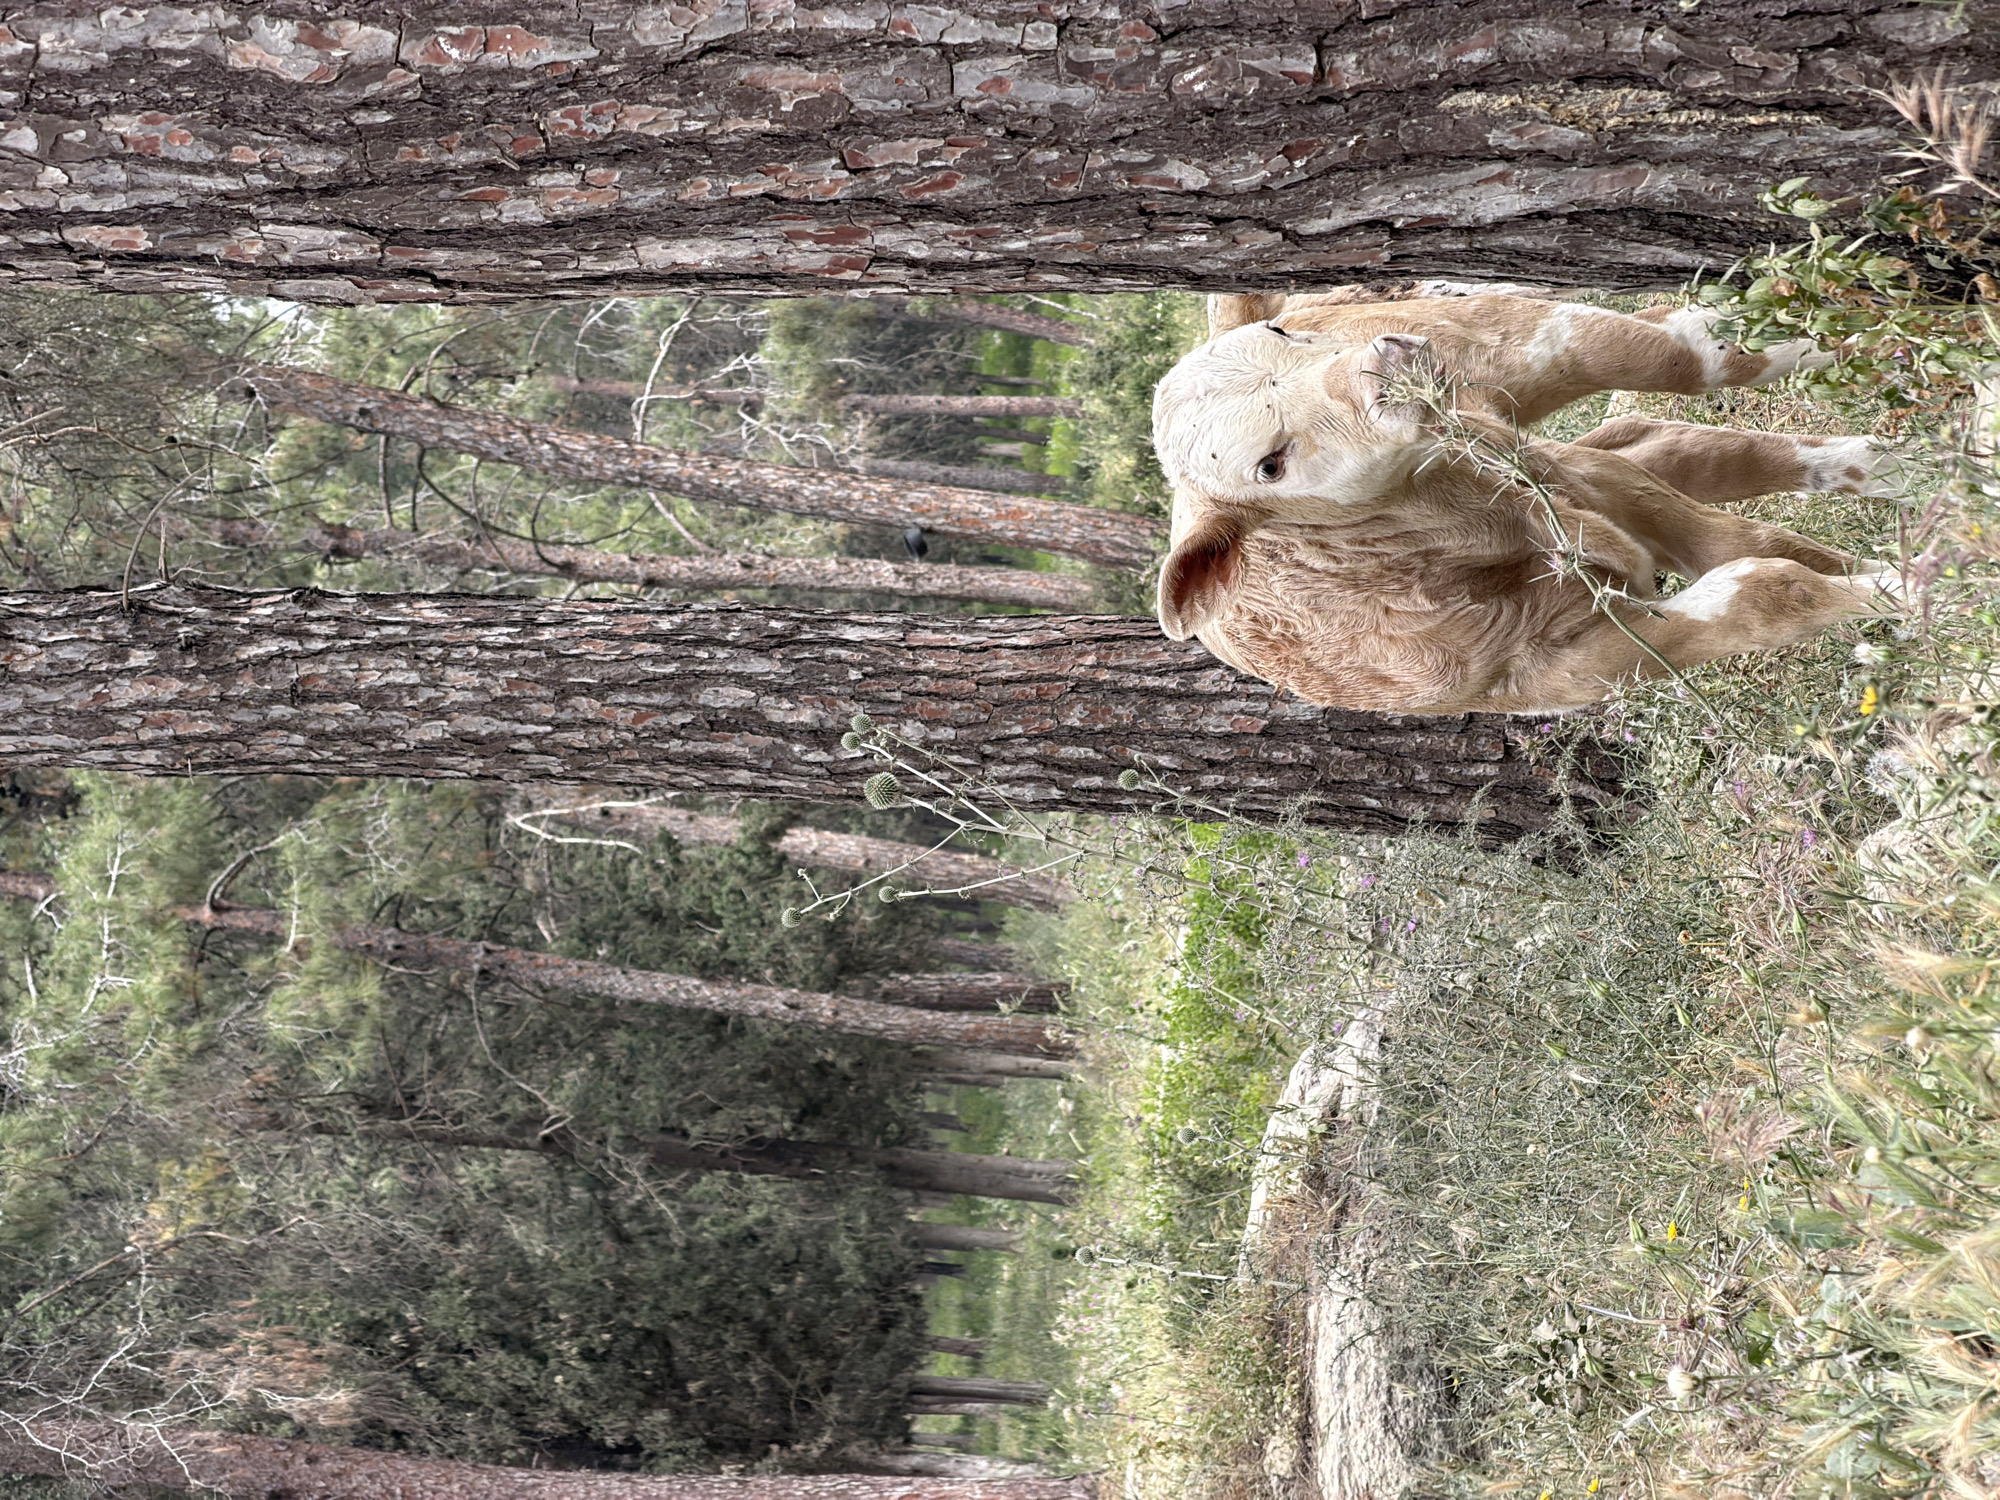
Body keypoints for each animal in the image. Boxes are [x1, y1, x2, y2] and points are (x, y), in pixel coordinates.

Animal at [1151, 291, 1904, 715]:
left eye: (1280, 337)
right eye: (1268, 466)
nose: (1381, 365)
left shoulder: (1585, 489)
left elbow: (1751, 554)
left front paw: (1903, 585)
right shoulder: (1567, 669)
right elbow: (1763, 587)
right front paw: (1897, 599)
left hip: (1516, 343)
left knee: (1696, 355)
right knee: (1661, 439)